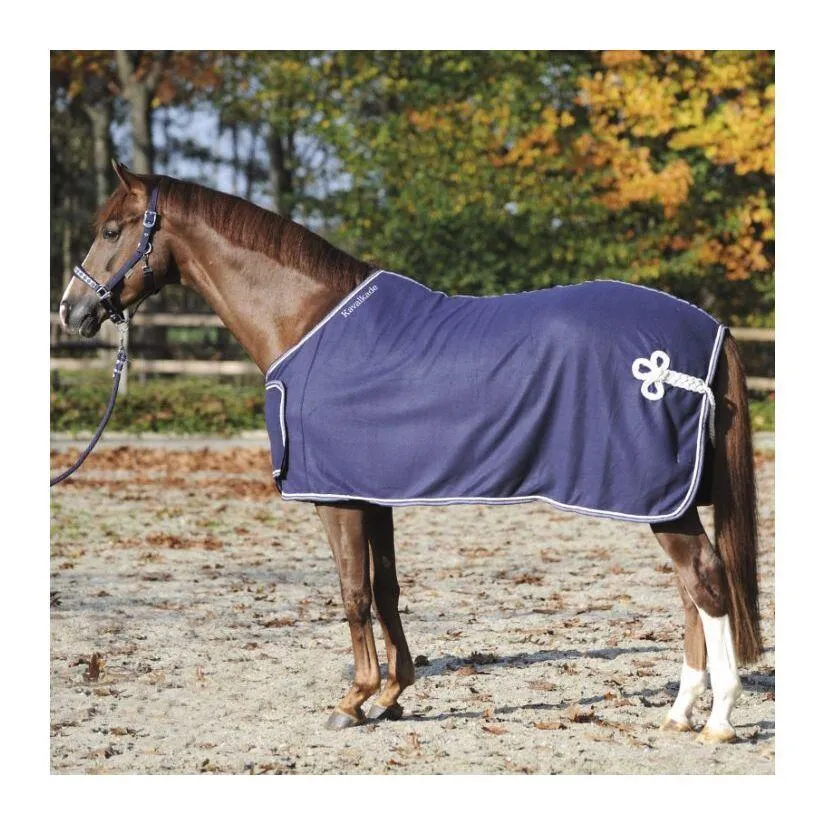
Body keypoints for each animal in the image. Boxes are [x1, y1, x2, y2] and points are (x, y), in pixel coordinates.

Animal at [57, 161, 761, 742]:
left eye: (114, 229)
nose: (71, 310)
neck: (306, 319)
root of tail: (707, 329)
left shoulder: (336, 498)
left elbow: (354, 593)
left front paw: (354, 699)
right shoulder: (374, 494)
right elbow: (388, 587)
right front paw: (394, 693)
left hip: (658, 498)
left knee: (705, 580)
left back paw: (718, 719)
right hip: (665, 500)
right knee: (690, 587)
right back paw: (679, 711)